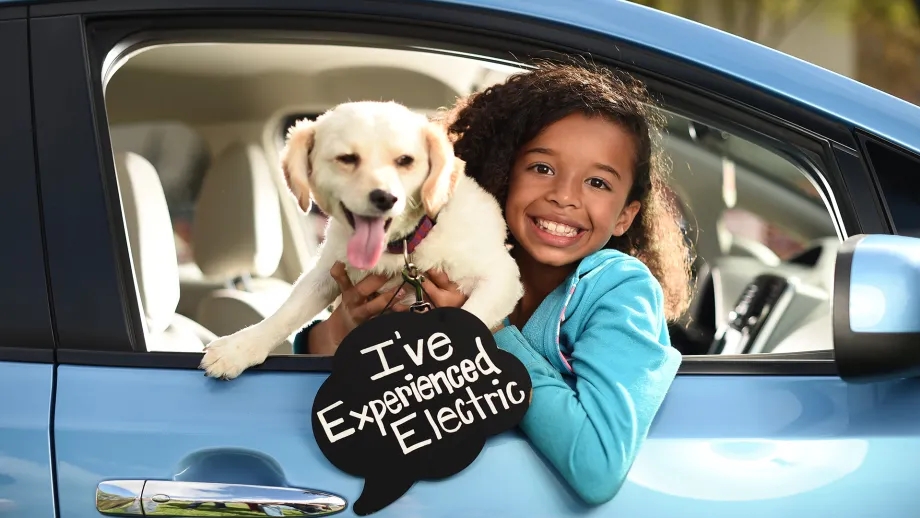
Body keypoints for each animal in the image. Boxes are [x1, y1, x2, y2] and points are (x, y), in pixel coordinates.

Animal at [201, 101, 524, 380]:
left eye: (405, 161)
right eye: (347, 159)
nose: (385, 197)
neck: (403, 247)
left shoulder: (502, 278)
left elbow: (469, 318)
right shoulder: (325, 272)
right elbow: (285, 314)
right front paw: (239, 348)